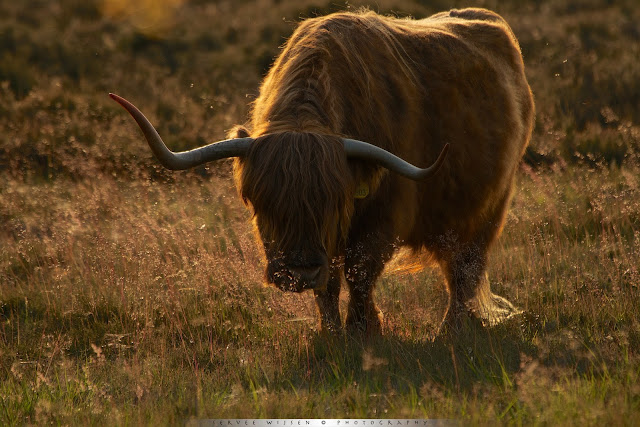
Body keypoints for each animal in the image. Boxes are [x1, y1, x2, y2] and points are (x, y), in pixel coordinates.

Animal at [111, 6, 536, 334]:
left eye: (334, 200)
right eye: (260, 202)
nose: (297, 271)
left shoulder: (383, 220)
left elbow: (360, 274)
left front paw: (364, 330)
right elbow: (328, 285)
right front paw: (331, 334)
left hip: (487, 209)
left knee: (464, 272)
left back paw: (451, 331)